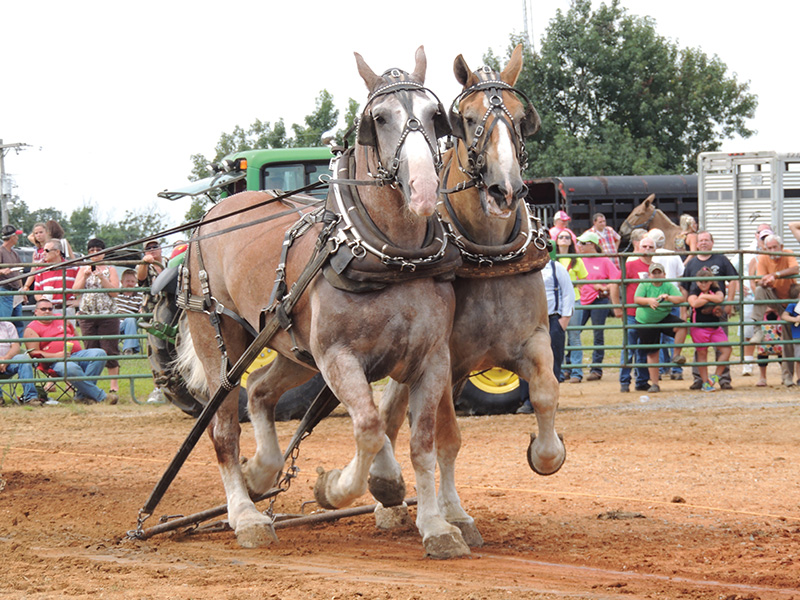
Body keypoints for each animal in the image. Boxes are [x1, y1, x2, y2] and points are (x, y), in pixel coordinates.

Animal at [178, 47, 472, 556]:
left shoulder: (431, 358)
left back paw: (262, 472)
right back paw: (245, 514)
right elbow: (370, 426)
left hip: (289, 346)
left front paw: (436, 526)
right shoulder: (338, 357)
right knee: (223, 427)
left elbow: (421, 442)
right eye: (379, 118)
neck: (392, 258)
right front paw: (344, 487)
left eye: (436, 115)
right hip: (221, 341)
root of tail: (211, 213)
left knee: (260, 391)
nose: (423, 189)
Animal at [370, 44, 564, 548]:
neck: (489, 256)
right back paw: (387, 500)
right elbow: (447, 438)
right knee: (392, 416)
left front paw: (545, 452)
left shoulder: (533, 340)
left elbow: (546, 393)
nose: (505, 190)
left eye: (521, 117)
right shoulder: (445, 362)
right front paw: (454, 517)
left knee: (392, 412)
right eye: (470, 119)